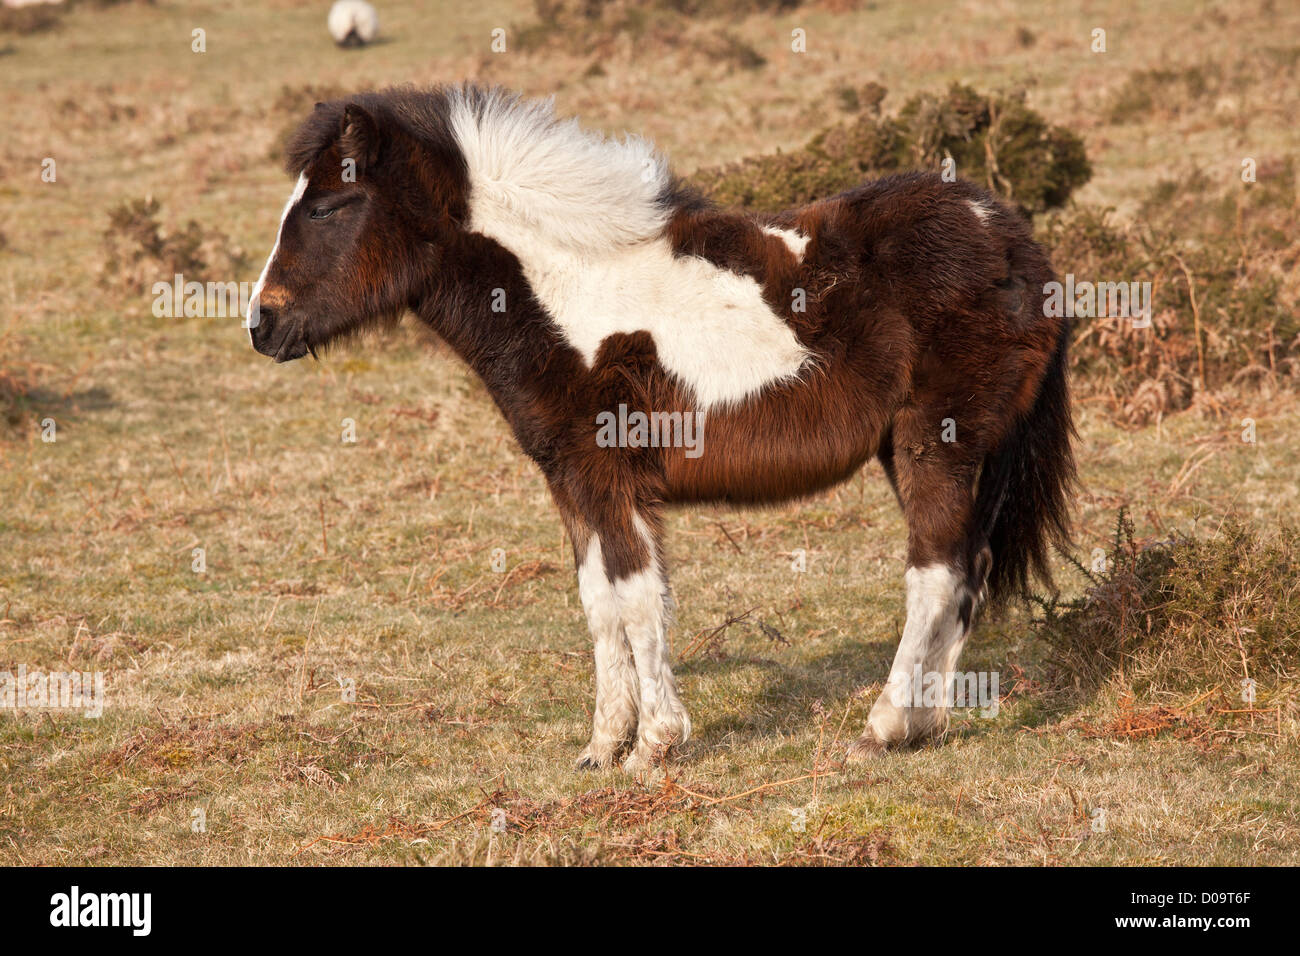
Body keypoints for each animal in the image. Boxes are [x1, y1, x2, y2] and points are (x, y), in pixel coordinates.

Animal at [246, 84, 1075, 773]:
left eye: (327, 207)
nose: (262, 324)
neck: (566, 294)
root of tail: (1015, 241)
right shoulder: (572, 482)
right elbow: (598, 602)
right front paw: (601, 745)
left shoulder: (612, 478)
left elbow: (639, 598)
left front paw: (654, 745)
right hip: (922, 452)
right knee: (966, 569)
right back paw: (928, 725)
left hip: (938, 441)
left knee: (934, 572)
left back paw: (885, 725)